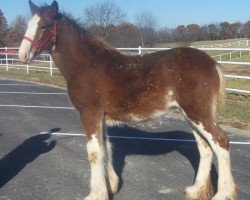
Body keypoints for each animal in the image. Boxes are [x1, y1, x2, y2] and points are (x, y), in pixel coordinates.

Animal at [18, 0, 237, 199]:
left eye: (44, 25)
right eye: (28, 24)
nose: (22, 55)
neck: (86, 65)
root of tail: (212, 63)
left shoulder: (90, 114)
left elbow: (94, 152)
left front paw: (96, 194)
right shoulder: (101, 118)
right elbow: (105, 148)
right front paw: (111, 186)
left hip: (198, 115)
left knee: (221, 143)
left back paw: (223, 194)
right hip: (192, 116)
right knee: (205, 148)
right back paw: (196, 190)